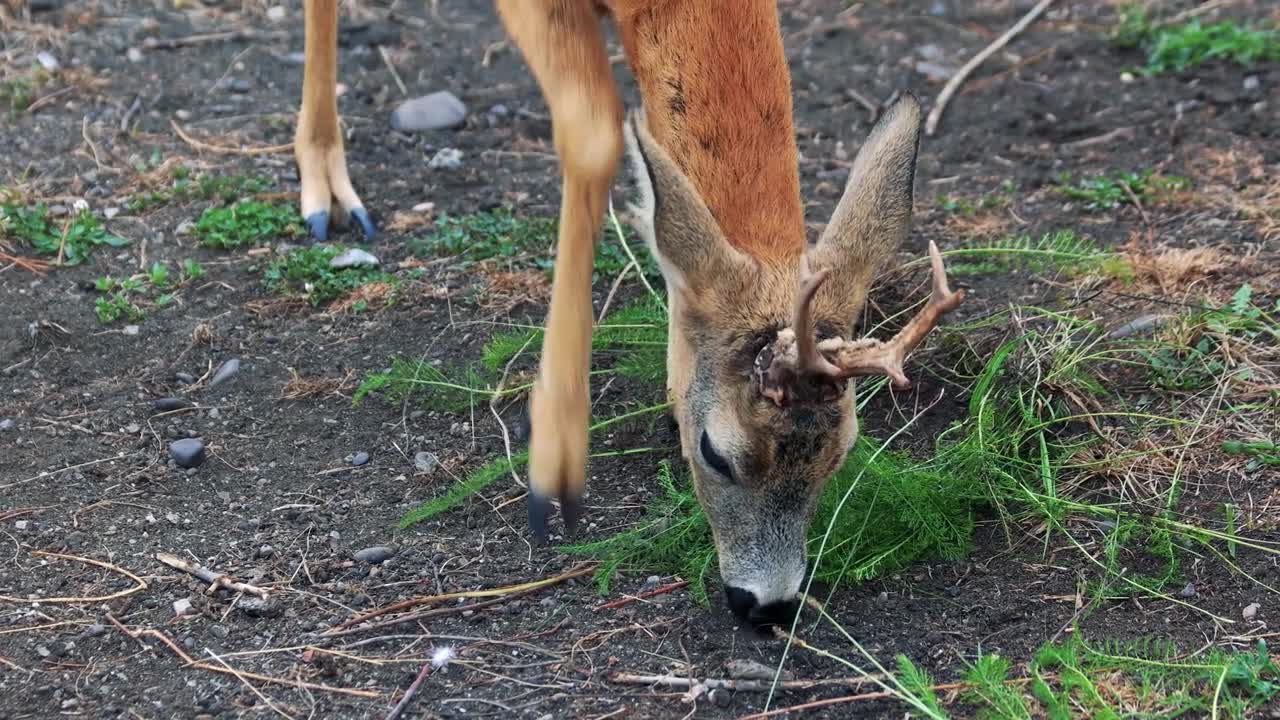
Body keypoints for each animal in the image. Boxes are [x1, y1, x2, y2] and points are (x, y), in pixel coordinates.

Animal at [296, 0, 962, 625]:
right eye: (715, 453)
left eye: (841, 453)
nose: (766, 604)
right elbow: (595, 137)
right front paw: (555, 457)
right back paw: (324, 187)